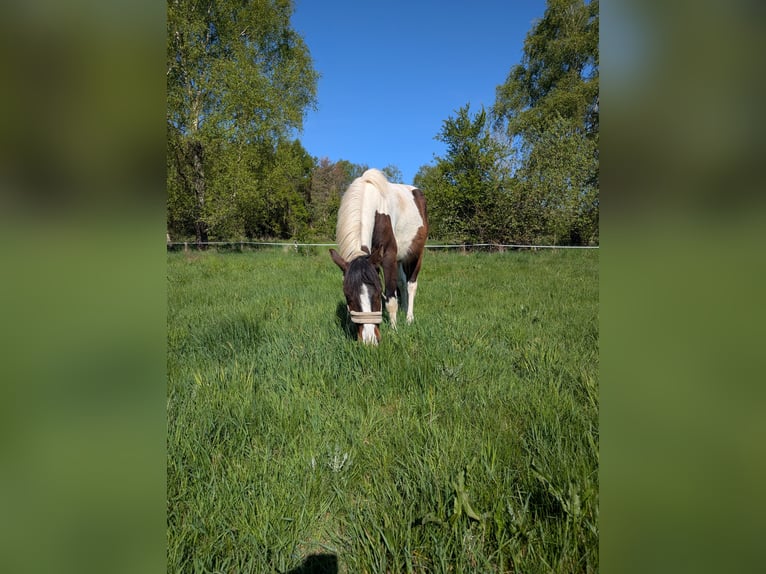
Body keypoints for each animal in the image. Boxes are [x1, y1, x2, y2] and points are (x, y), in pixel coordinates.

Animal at [329, 168, 428, 345]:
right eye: (348, 296)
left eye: (377, 293)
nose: (369, 340)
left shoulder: (388, 256)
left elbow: (390, 298)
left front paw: (394, 330)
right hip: (400, 259)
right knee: (402, 283)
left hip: (416, 254)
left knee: (411, 284)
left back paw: (409, 318)